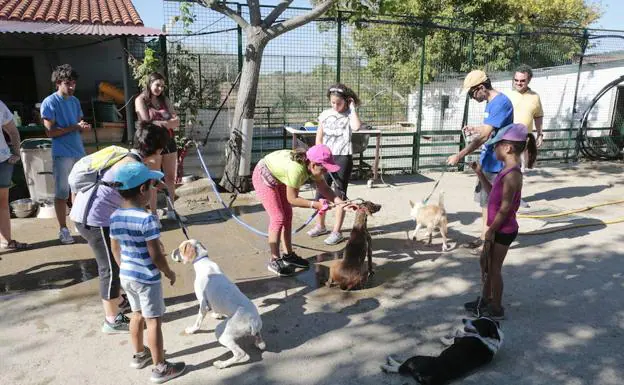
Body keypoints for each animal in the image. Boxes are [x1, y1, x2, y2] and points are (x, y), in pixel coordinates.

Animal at [171, 238, 266, 368]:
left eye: (180, 249)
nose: (171, 253)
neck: (203, 261)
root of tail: (254, 321)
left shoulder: (203, 304)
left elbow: (198, 321)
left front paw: (192, 330)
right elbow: (215, 308)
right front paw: (217, 315)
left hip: (221, 332)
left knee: (240, 353)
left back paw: (222, 364)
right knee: (260, 342)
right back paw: (258, 342)